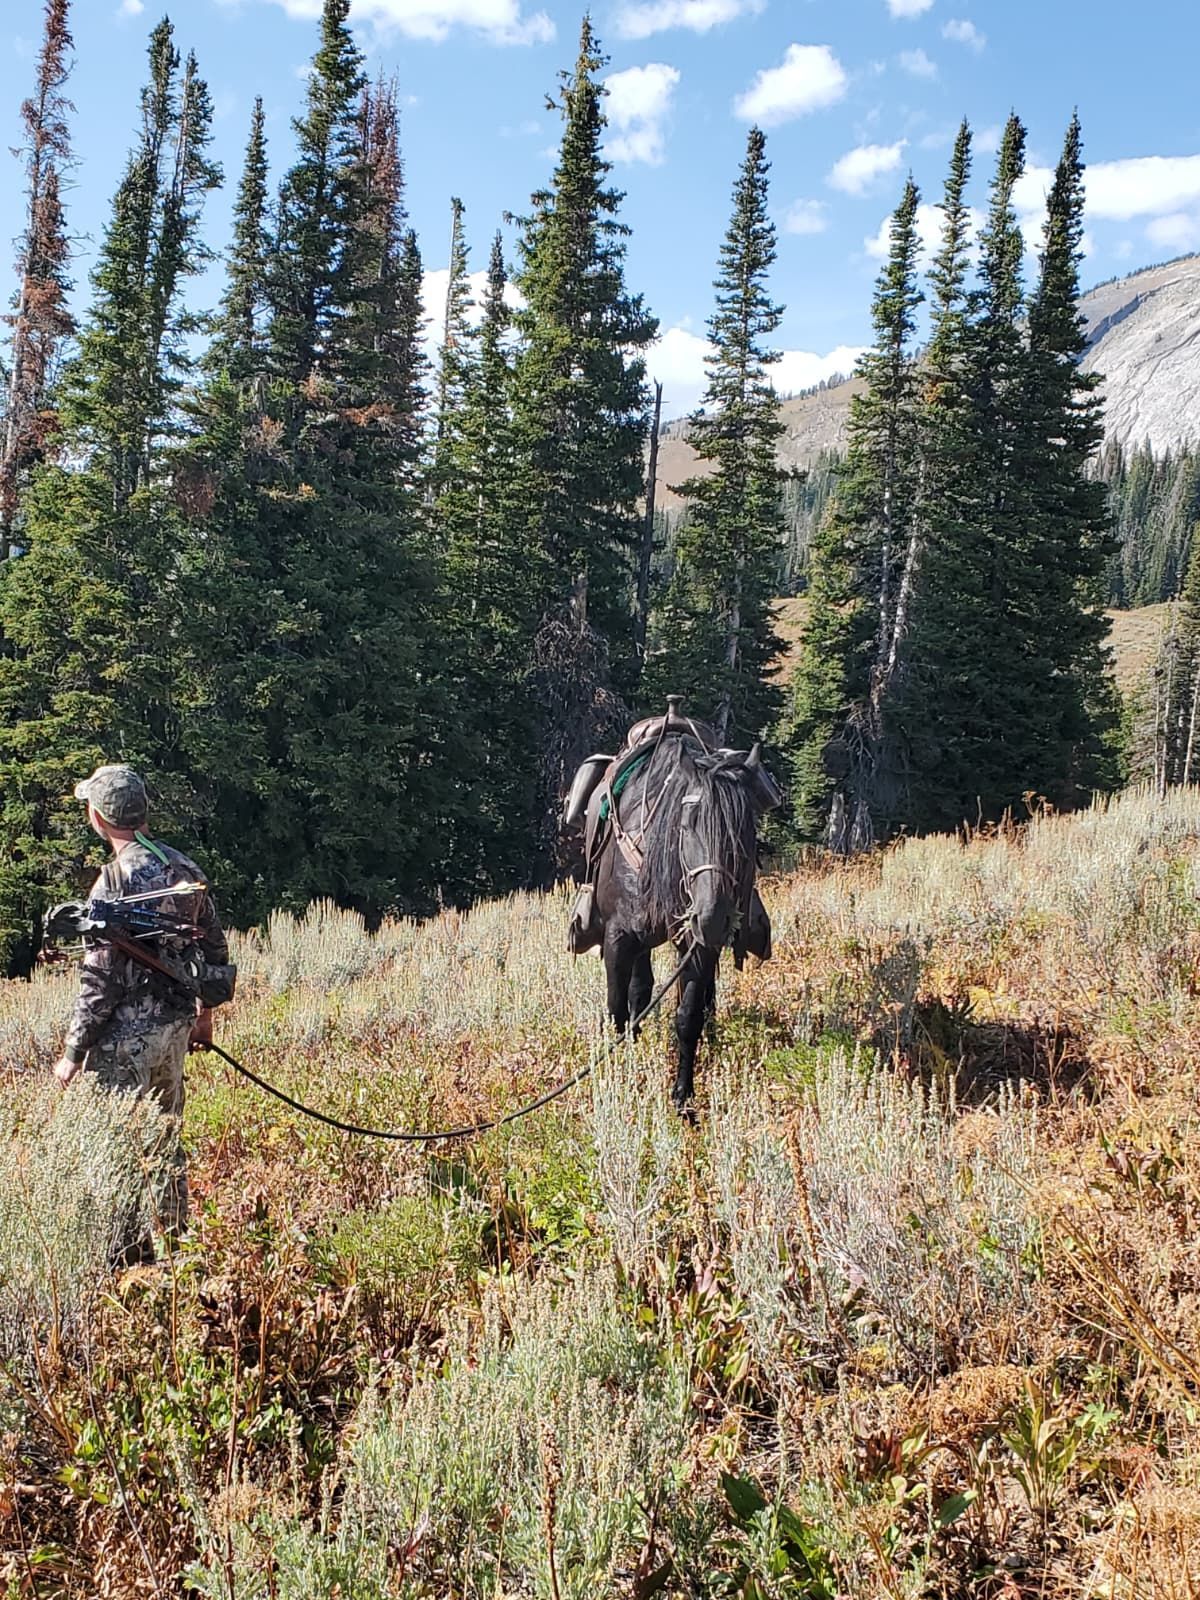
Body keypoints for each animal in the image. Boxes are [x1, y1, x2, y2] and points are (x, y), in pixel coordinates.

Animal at [589, 730, 776, 1113]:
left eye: (746, 831)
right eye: (687, 825)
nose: (713, 918)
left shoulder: (696, 946)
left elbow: (688, 1016)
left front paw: (683, 1097)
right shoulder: (619, 938)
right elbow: (617, 1010)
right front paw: (621, 1076)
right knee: (639, 991)